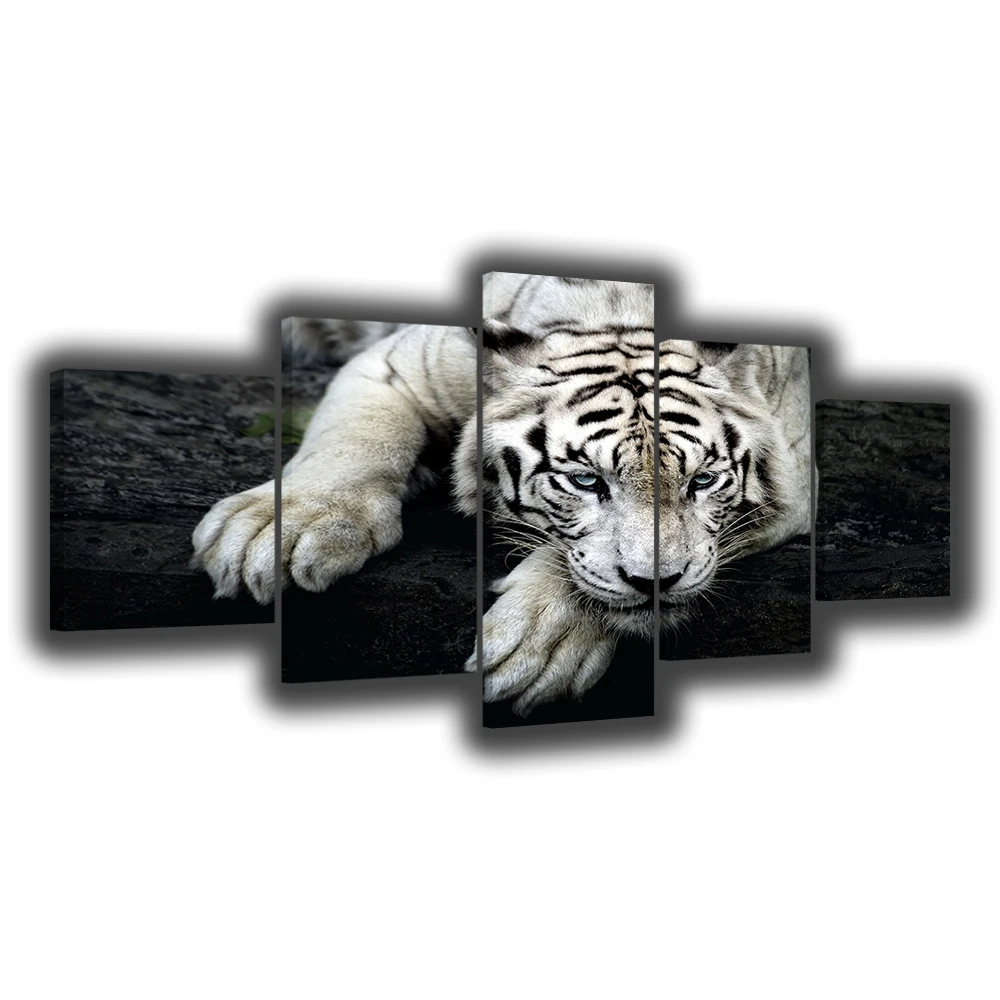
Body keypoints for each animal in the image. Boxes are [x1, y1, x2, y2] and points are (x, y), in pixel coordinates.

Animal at [191, 273, 811, 714]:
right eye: (586, 480)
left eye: (701, 481)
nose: (657, 584)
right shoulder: (395, 364)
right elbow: (353, 438)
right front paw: (272, 532)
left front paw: (537, 642)